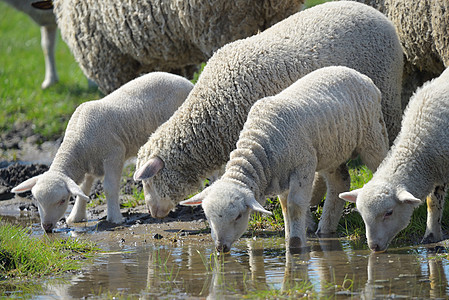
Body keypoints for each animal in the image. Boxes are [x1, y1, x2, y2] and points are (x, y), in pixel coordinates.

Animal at [10, 72, 192, 232]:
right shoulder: (88, 163)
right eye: (36, 200)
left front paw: (115, 218)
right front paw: (76, 217)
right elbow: (83, 190)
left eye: (62, 201)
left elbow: (110, 188)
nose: (46, 227)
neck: (77, 142)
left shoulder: (114, 154)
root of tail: (187, 82)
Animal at [180, 66, 390, 251]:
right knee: (340, 182)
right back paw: (326, 229)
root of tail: (359, 75)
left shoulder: (303, 165)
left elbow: (295, 206)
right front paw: (290, 237)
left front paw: (296, 244)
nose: (220, 248)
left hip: (372, 135)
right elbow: (284, 207)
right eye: (208, 217)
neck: (259, 143)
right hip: (332, 151)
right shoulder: (280, 177)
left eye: (238, 216)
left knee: (379, 163)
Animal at [340, 67, 448, 252]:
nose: (374, 247)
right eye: (362, 215)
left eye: (389, 213)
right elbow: (433, 203)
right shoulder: (437, 170)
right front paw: (431, 236)